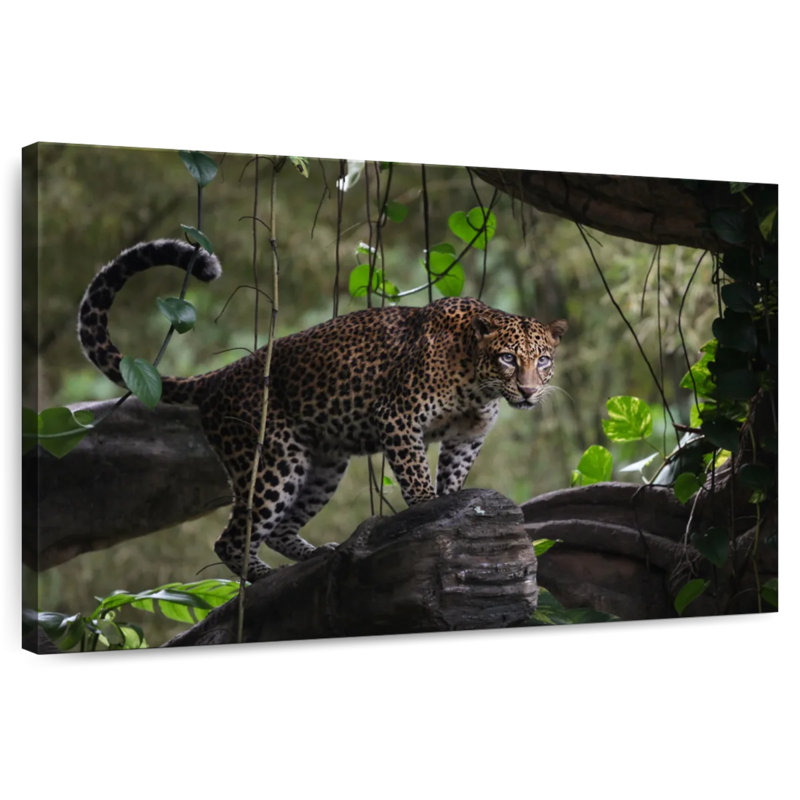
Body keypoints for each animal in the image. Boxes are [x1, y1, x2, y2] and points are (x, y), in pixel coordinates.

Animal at [78, 238, 567, 581]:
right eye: (507, 358)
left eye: (543, 360)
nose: (528, 391)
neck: (477, 383)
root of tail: (219, 377)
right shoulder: (398, 418)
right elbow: (417, 480)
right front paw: (428, 514)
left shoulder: (466, 437)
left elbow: (452, 478)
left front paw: (453, 509)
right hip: (271, 459)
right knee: (231, 538)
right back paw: (263, 577)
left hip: (323, 465)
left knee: (277, 529)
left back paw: (317, 555)